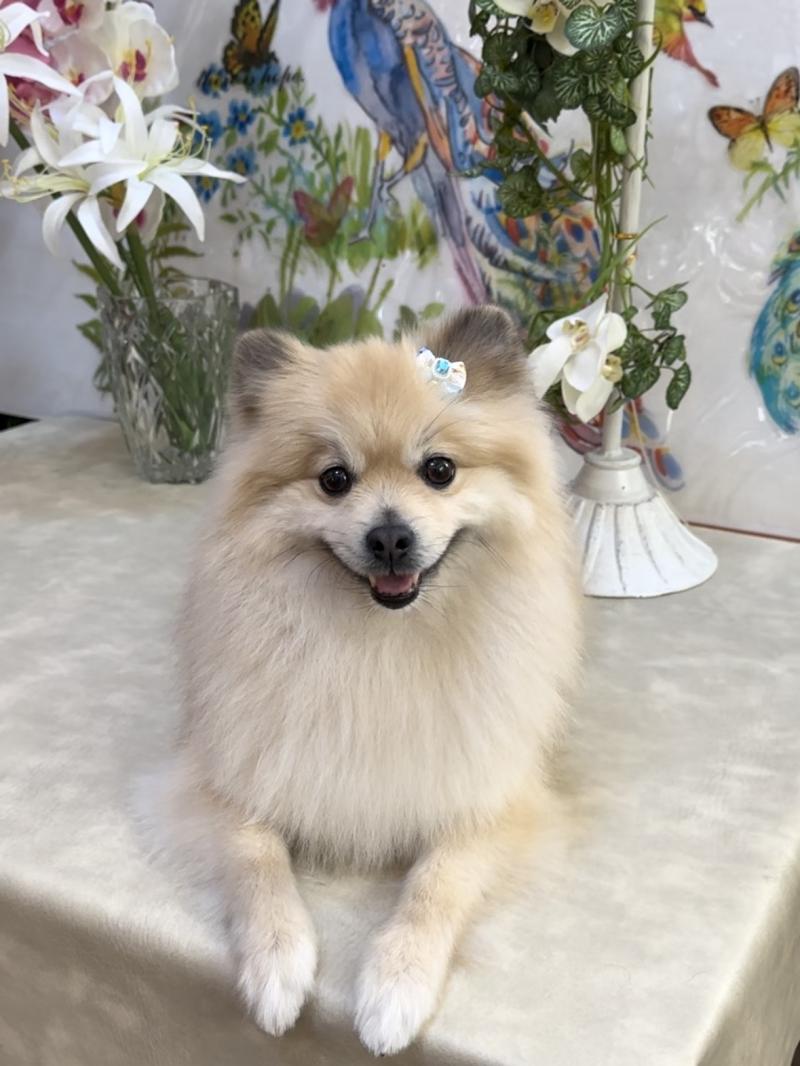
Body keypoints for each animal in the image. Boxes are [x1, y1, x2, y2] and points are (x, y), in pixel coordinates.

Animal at [168, 305, 581, 1055]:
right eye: (334, 479)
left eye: (439, 469)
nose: (390, 536)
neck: (381, 644)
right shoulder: (220, 777)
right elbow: (255, 859)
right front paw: (277, 964)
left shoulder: (491, 800)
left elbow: (437, 882)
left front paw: (396, 986)